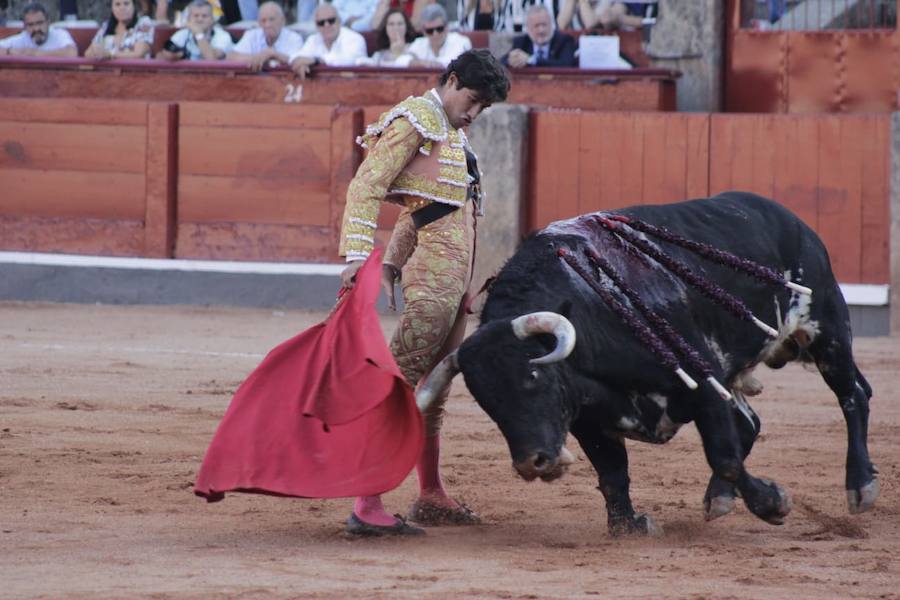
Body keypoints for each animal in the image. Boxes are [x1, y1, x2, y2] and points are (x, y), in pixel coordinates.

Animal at [420, 192, 880, 536]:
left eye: (533, 375)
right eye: (487, 403)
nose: (533, 465)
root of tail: (791, 219)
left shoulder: (702, 381)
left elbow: (724, 455)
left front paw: (772, 504)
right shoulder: (588, 418)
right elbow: (612, 472)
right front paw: (629, 526)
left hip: (826, 328)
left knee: (852, 395)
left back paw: (861, 487)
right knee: (752, 422)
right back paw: (719, 498)